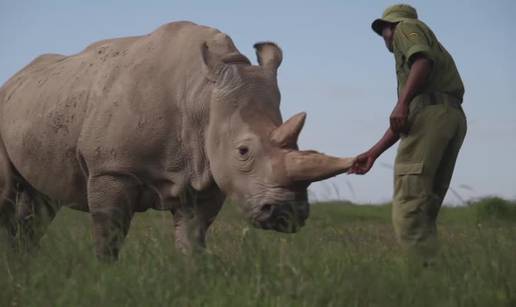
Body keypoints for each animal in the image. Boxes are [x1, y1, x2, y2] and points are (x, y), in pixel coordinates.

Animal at [0, 21, 354, 260]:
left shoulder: (205, 175)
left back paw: (24, 265)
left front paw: (192, 278)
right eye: (243, 151)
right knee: (8, 195)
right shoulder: (111, 168)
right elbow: (108, 237)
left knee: (40, 202)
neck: (202, 97)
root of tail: (16, 78)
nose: (287, 214)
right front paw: (104, 276)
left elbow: (192, 240)